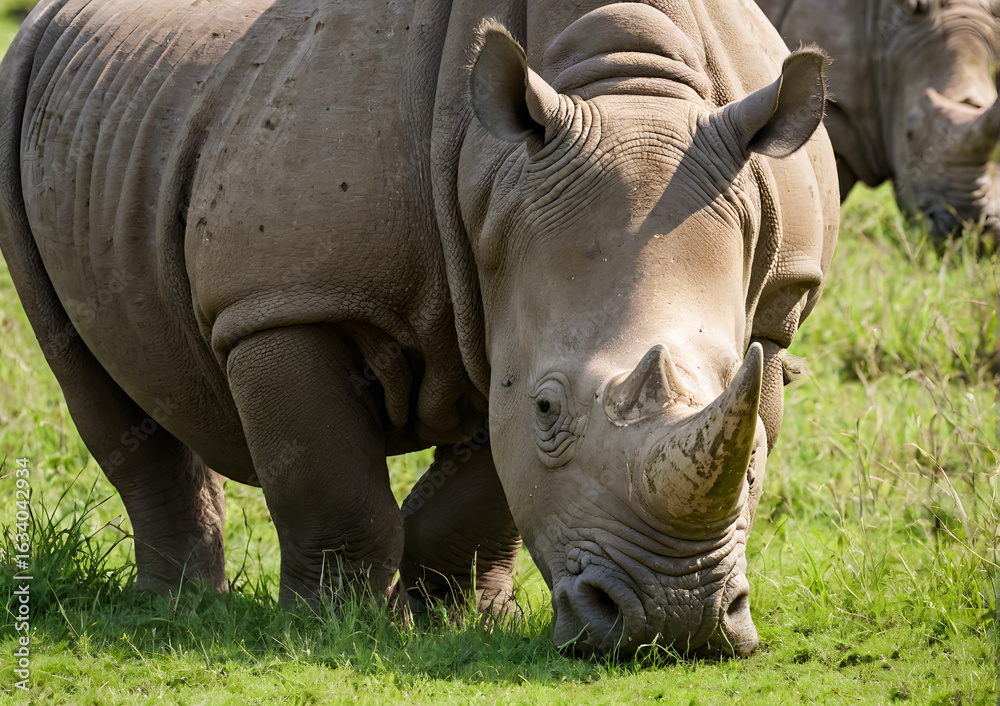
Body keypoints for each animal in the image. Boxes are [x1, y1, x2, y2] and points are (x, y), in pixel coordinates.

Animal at [0, 0, 838, 657]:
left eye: (751, 423)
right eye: (547, 409)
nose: (674, 623)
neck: (628, 89)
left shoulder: (774, 309)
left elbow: (485, 480)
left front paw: (464, 616)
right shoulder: (286, 298)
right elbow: (331, 480)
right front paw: (341, 627)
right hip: (26, 85)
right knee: (86, 377)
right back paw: (178, 609)